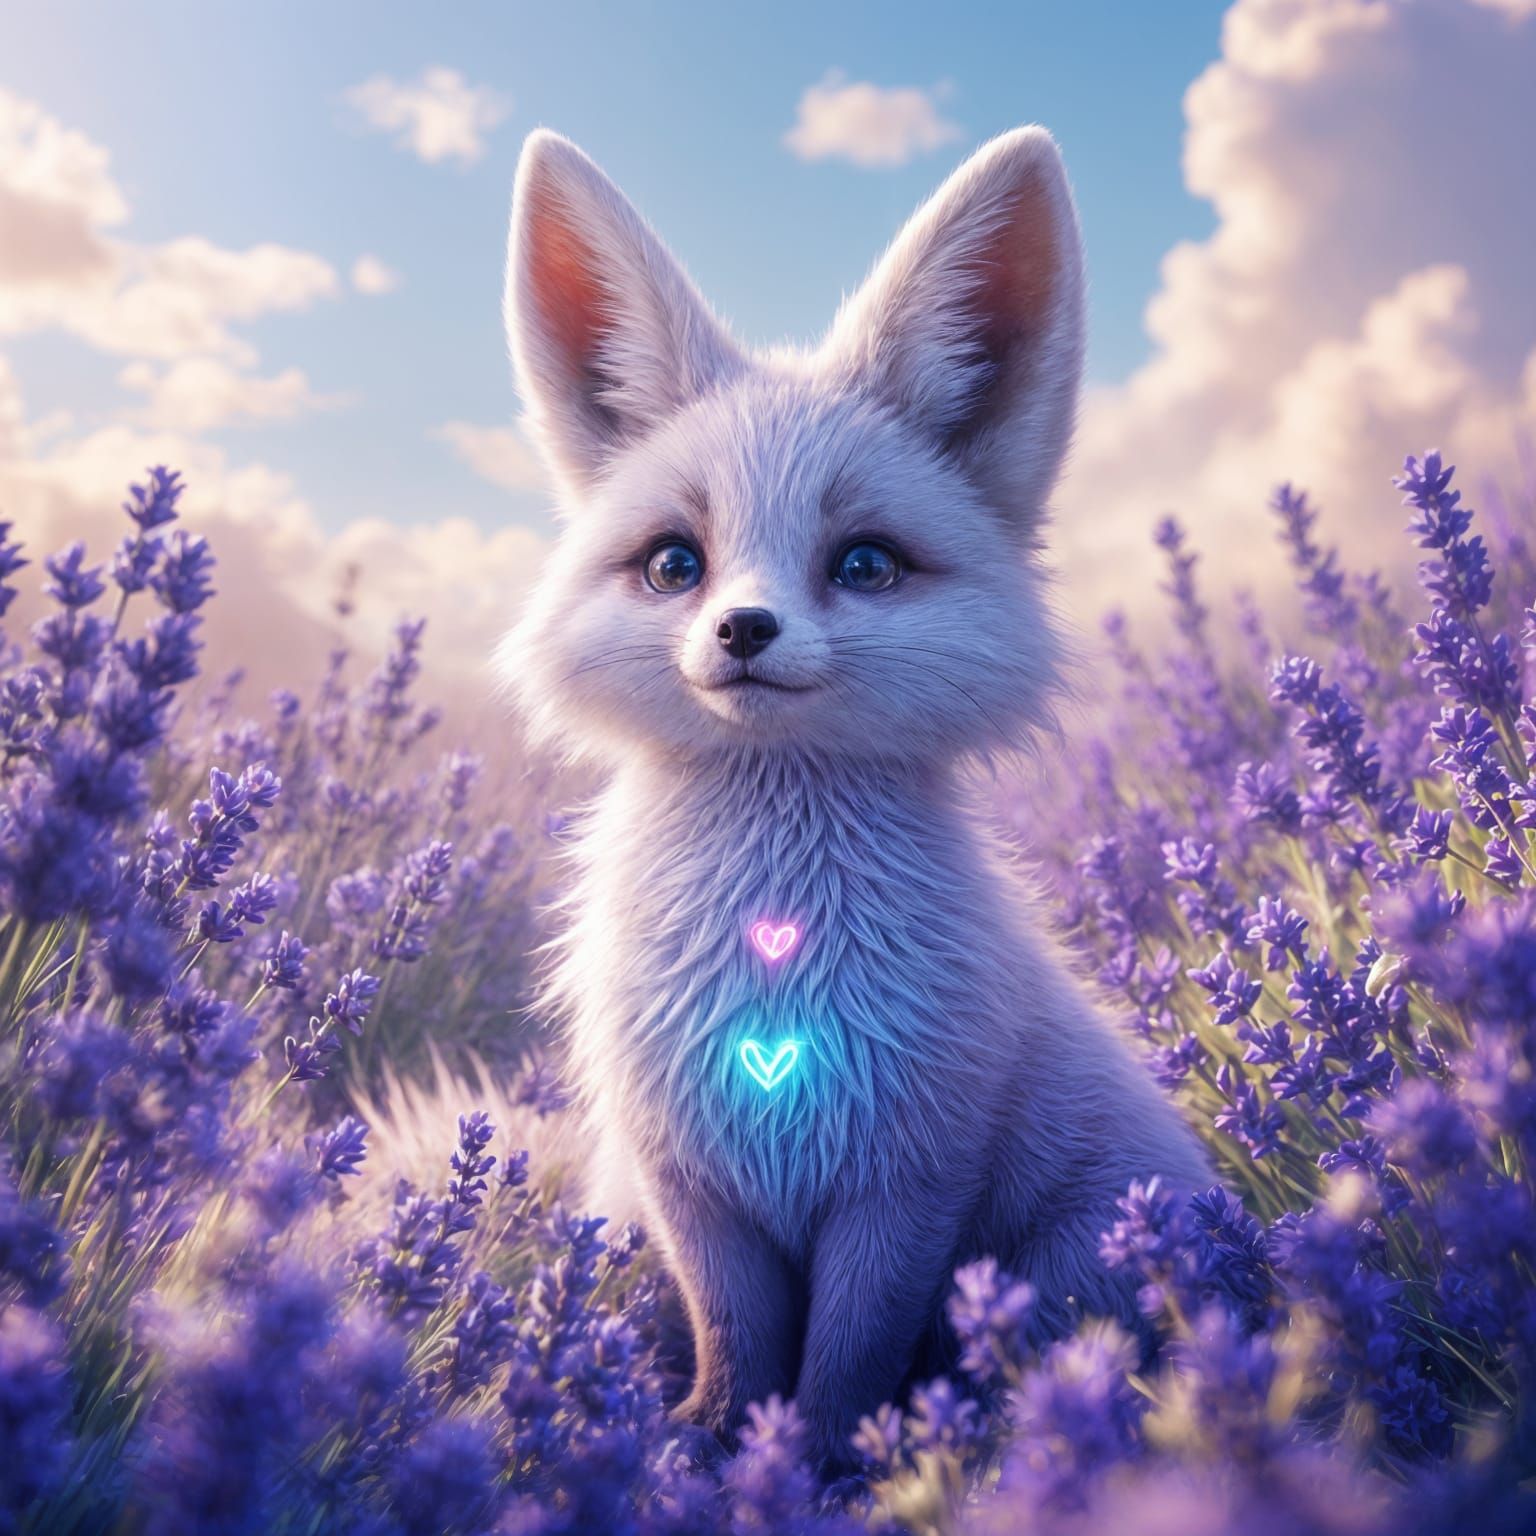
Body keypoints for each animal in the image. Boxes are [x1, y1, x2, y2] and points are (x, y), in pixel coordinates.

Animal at [498, 125, 1209, 1466]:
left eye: (865, 564)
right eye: (674, 564)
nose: (743, 629)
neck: (777, 957)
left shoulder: (908, 1175)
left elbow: (849, 1352)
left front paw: (836, 1459)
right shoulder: (686, 1178)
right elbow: (734, 1340)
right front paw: (714, 1446)